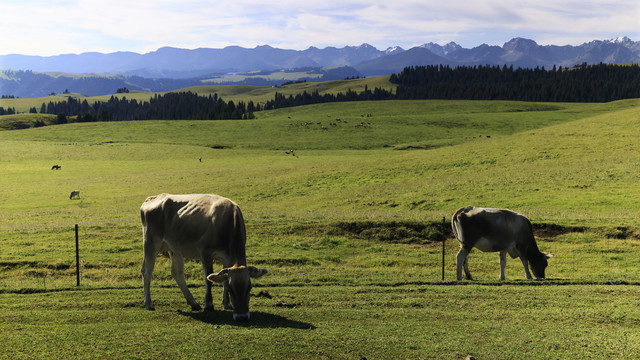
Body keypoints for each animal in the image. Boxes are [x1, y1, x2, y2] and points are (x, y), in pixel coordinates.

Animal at [140, 194, 268, 320]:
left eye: (249, 288)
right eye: (231, 290)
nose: (242, 317)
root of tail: (153, 197)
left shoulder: (227, 258)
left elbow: (224, 279)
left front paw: (226, 304)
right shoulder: (205, 252)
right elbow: (208, 279)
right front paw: (209, 304)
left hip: (175, 248)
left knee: (178, 273)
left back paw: (193, 303)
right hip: (151, 242)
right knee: (147, 271)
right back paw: (149, 304)